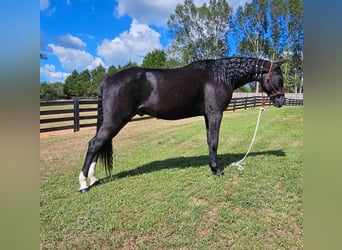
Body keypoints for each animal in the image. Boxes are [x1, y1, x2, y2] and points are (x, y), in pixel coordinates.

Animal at [79, 57, 284, 193]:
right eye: (279, 78)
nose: (281, 101)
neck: (220, 76)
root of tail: (109, 79)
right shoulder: (215, 114)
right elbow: (214, 141)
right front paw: (217, 170)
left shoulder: (208, 115)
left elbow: (209, 141)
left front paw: (212, 167)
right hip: (115, 121)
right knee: (94, 144)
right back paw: (83, 184)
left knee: (98, 144)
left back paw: (93, 179)